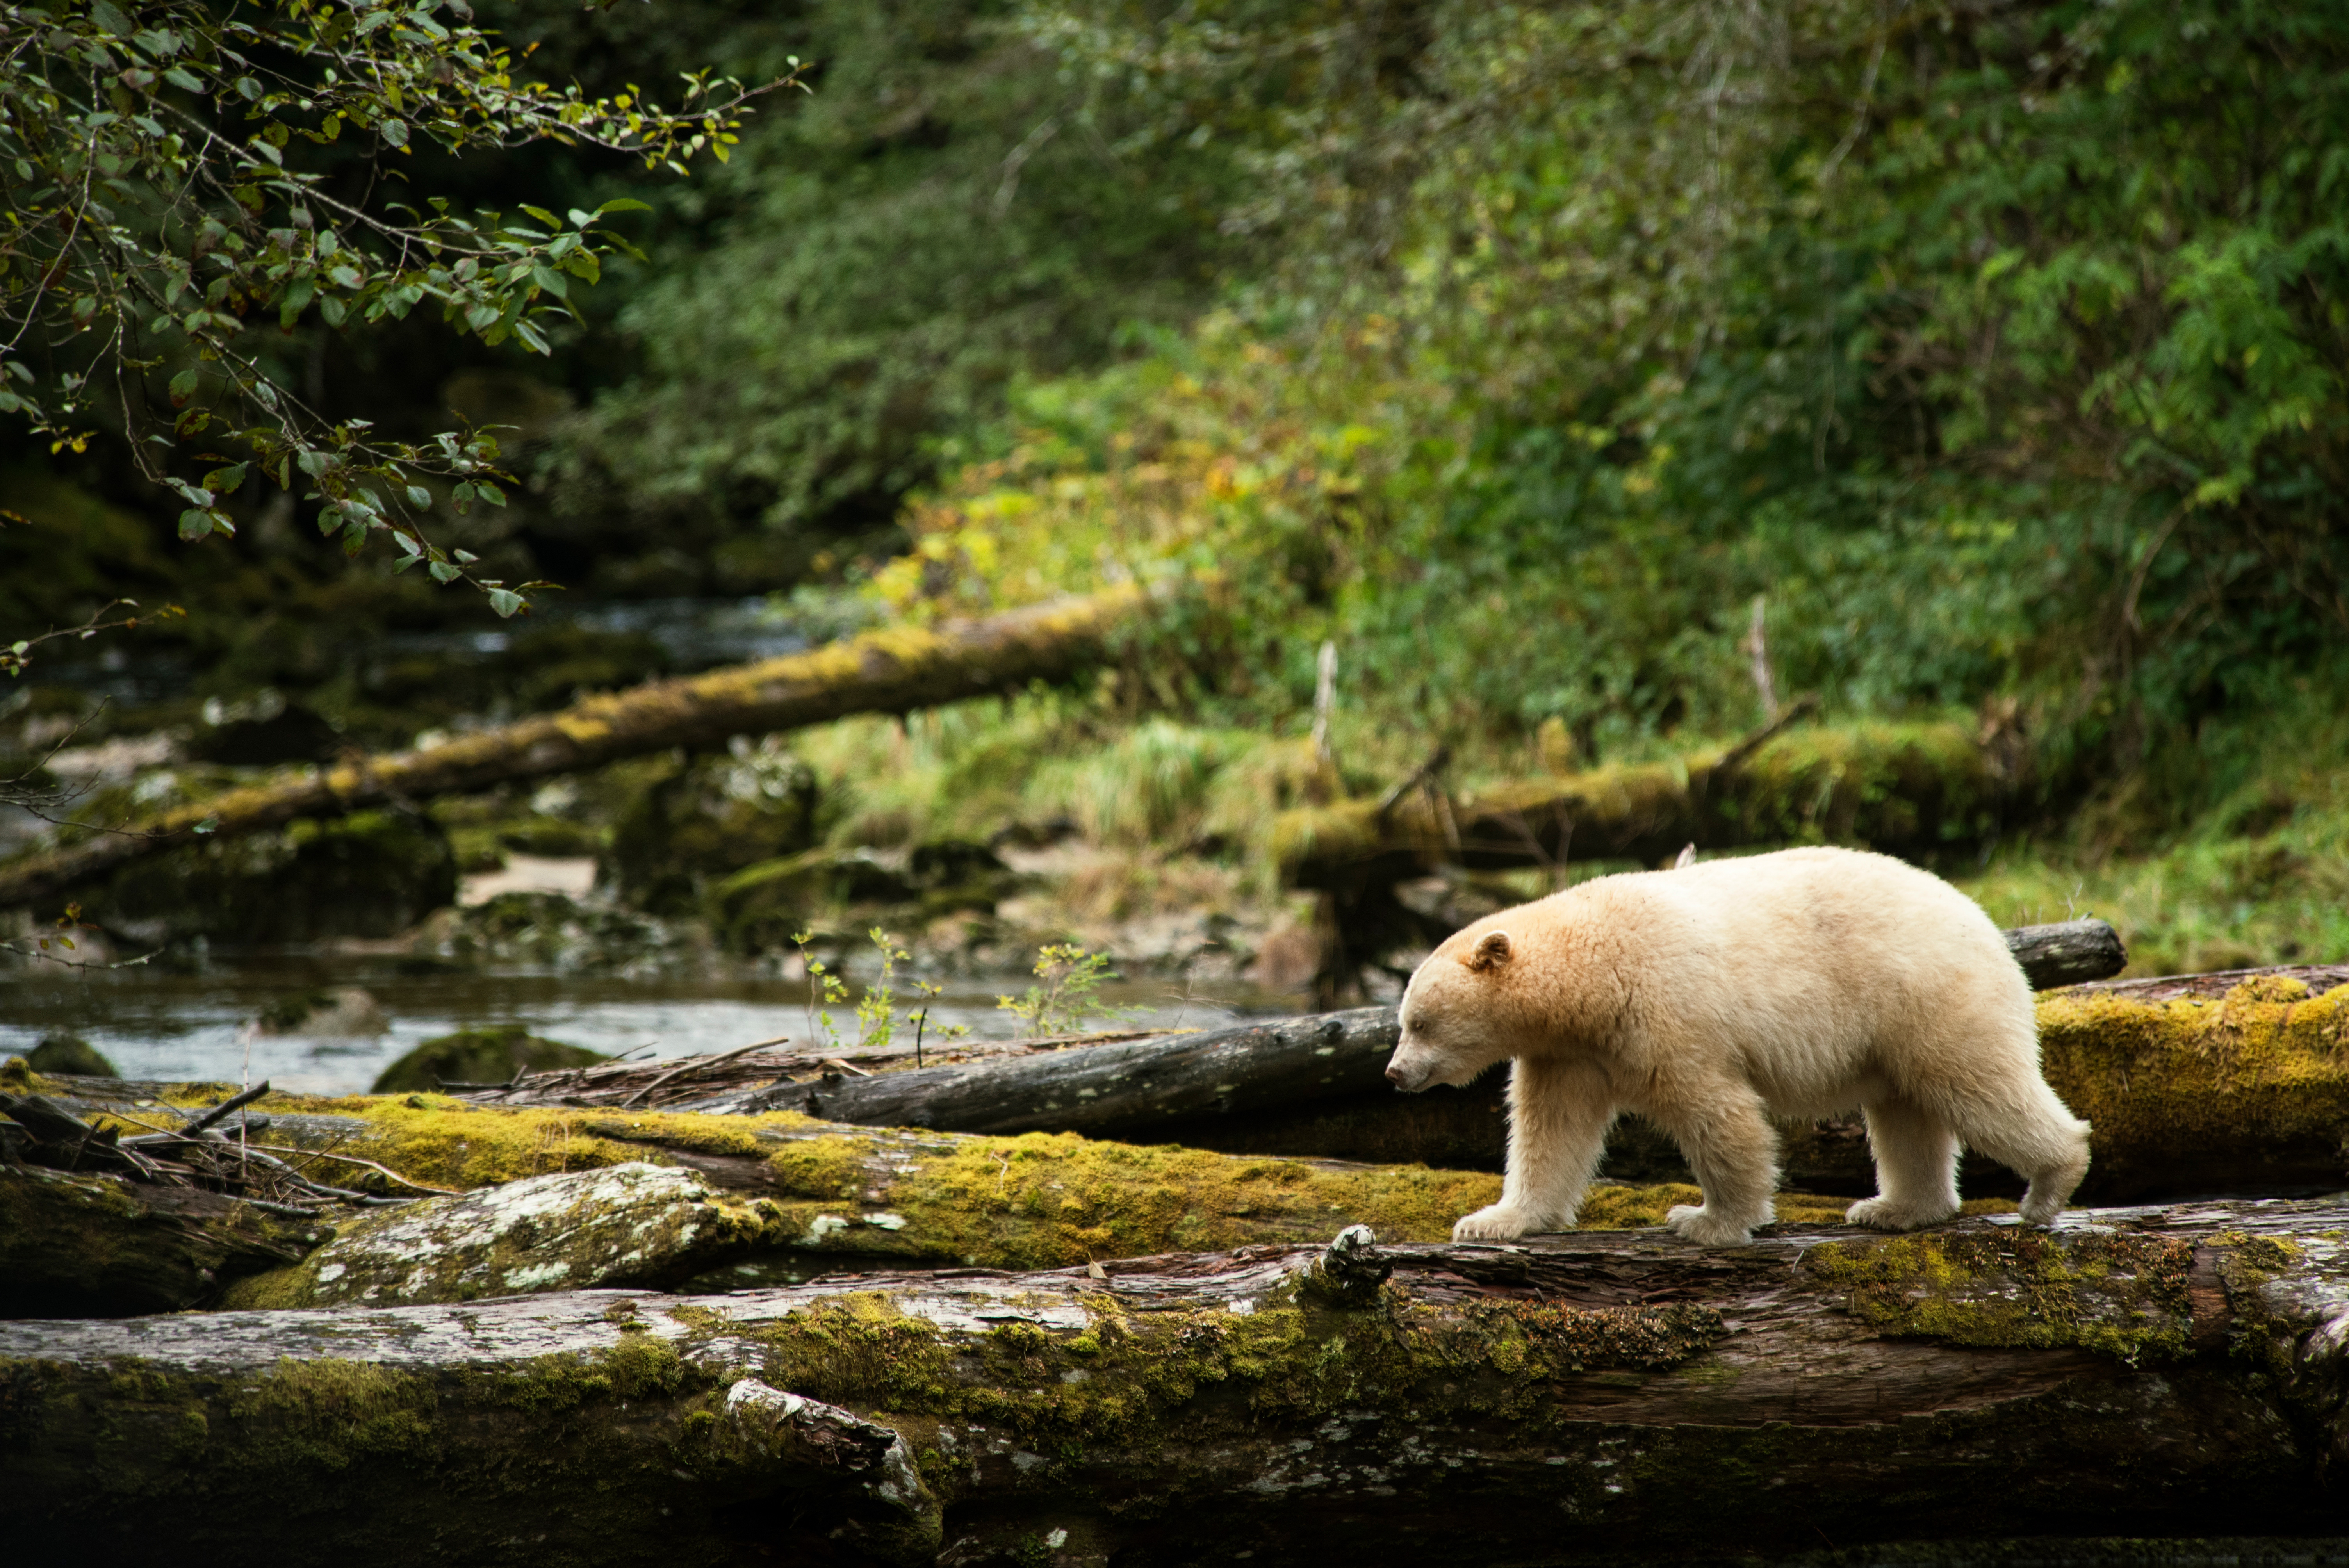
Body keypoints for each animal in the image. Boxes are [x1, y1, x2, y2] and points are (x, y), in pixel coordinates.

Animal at [1382, 845, 2092, 1246]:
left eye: (1419, 1021)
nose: (1394, 1073)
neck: (1593, 970)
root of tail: (1984, 921)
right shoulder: (1571, 1050)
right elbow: (1551, 1129)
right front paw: (1492, 1220)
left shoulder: (1665, 1013)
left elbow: (1716, 1113)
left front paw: (1707, 1221)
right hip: (1895, 1029)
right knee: (1906, 1111)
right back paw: (1894, 1208)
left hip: (1928, 992)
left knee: (1977, 1085)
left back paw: (2051, 1183)